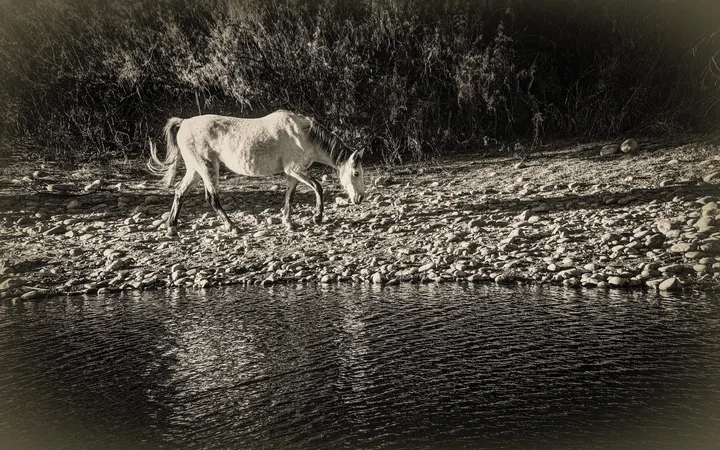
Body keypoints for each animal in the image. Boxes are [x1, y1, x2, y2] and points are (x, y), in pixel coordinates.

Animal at [147, 110, 365, 236]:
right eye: (356, 173)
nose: (360, 198)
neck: (303, 134)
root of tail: (183, 122)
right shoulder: (295, 169)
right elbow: (318, 187)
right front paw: (317, 218)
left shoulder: (293, 173)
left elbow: (290, 196)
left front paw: (288, 222)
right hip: (207, 167)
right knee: (212, 198)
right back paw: (233, 227)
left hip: (194, 170)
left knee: (180, 192)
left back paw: (172, 227)